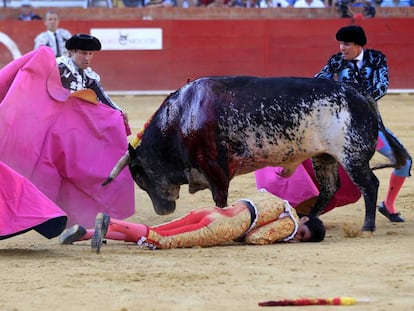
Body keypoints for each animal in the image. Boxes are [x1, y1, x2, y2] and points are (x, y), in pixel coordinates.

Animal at [105, 76, 410, 232]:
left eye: (139, 177)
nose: (163, 210)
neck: (182, 117)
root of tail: (362, 96)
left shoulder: (215, 167)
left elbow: (220, 198)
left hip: (352, 156)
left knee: (370, 184)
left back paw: (368, 225)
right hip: (324, 157)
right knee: (329, 188)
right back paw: (310, 218)